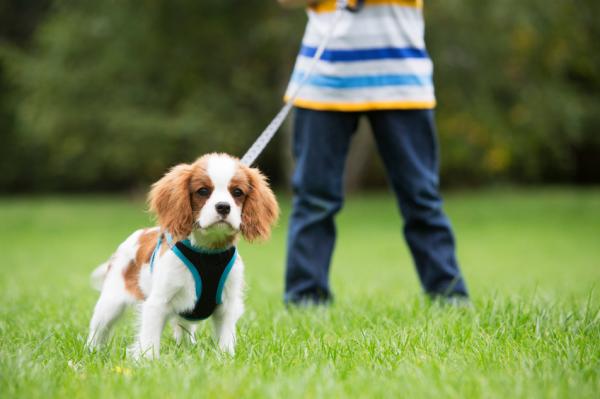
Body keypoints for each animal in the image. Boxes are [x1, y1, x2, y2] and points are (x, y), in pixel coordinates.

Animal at [86, 152, 278, 360]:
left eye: (237, 192)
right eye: (203, 191)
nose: (223, 207)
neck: (208, 252)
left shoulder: (228, 305)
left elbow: (226, 337)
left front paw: (225, 357)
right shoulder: (157, 303)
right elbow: (149, 340)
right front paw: (148, 362)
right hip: (110, 303)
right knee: (98, 330)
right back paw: (91, 351)